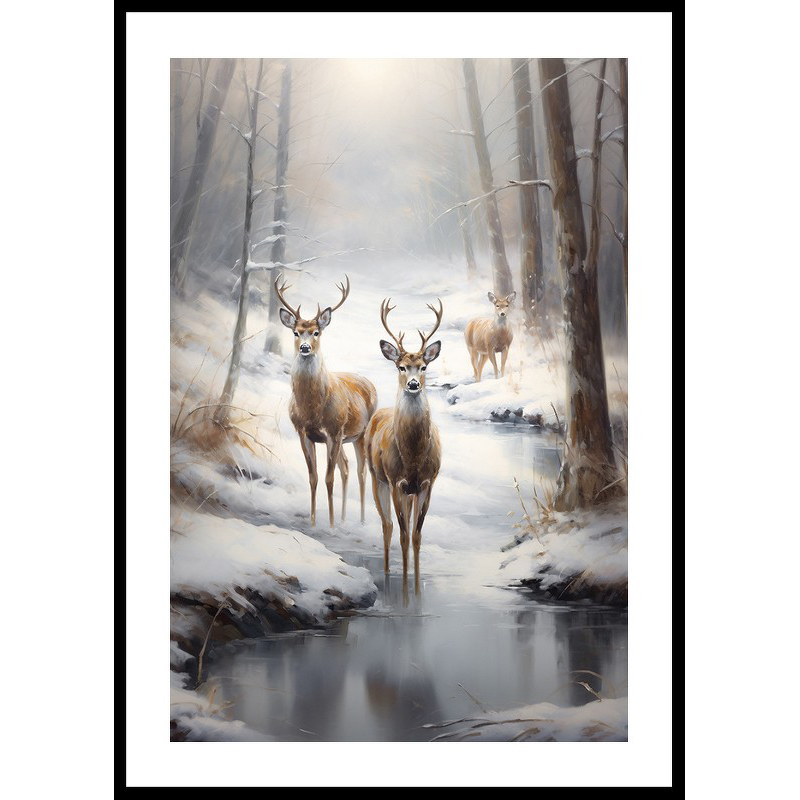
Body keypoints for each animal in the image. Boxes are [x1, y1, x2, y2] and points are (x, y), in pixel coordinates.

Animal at [275, 274, 378, 528]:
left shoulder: (334, 430)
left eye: (316, 332)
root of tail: (369, 382)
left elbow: (328, 479)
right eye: (296, 332)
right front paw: (313, 521)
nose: (305, 348)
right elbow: (313, 478)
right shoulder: (304, 432)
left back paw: (361, 520)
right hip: (344, 439)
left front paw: (330, 525)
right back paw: (343, 517)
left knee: (361, 472)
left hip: (359, 434)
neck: (312, 409)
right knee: (347, 467)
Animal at [364, 298, 443, 595]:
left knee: (406, 527)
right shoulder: (396, 481)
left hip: (408, 492)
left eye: (423, 366)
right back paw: (387, 574)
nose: (412, 384)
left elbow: (417, 536)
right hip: (376, 478)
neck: (413, 457)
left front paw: (418, 590)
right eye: (401, 366)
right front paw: (407, 595)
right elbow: (402, 535)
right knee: (387, 526)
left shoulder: (426, 483)